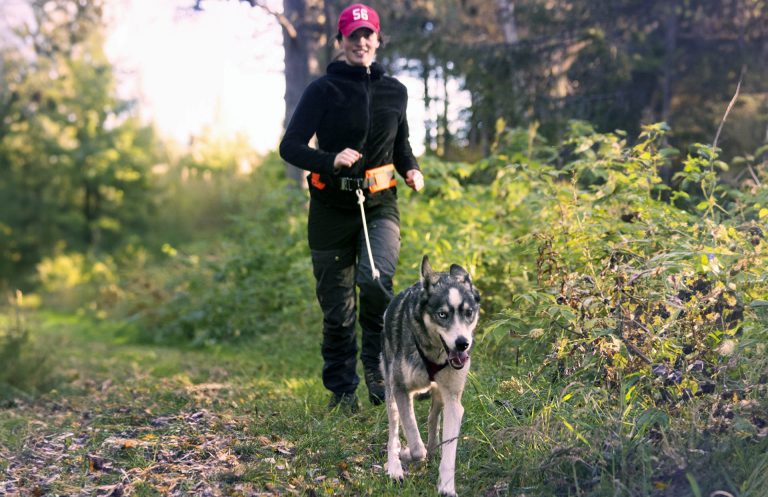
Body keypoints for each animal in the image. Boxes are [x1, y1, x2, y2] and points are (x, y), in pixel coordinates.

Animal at [382, 254, 484, 494]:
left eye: (468, 313)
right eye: (442, 315)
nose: (462, 343)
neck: (434, 353)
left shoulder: (454, 402)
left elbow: (449, 451)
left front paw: (446, 487)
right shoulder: (401, 389)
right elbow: (413, 440)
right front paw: (407, 454)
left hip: (439, 394)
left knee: (432, 418)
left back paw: (432, 448)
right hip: (390, 389)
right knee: (393, 432)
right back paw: (395, 466)